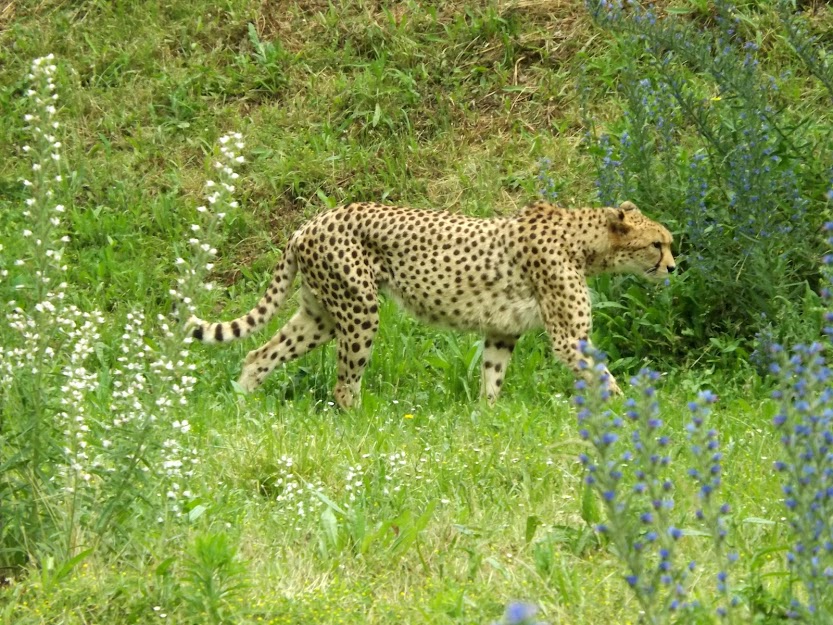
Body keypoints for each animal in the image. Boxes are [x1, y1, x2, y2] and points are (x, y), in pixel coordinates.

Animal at [187, 197, 676, 408]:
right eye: (658, 244)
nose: (673, 268)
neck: (586, 241)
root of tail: (310, 222)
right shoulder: (569, 339)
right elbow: (604, 377)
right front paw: (631, 417)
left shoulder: (502, 330)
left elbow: (492, 377)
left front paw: (487, 417)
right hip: (359, 309)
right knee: (344, 384)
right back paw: (361, 423)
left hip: (320, 313)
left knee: (260, 352)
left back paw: (243, 404)